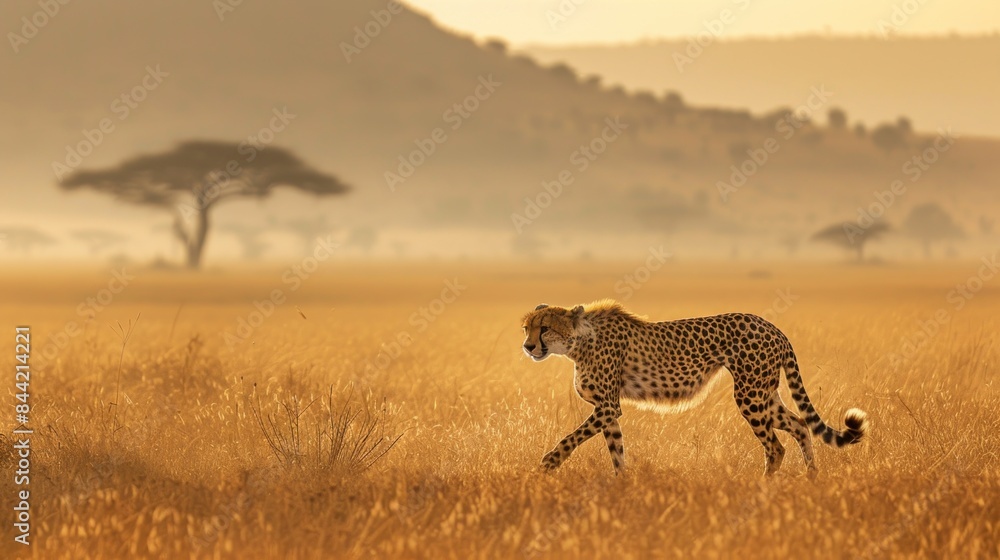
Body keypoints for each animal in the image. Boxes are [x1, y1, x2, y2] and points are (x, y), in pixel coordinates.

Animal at [520, 300, 868, 477]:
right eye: (527, 327)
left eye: (545, 328)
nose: (527, 346)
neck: (577, 342)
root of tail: (773, 327)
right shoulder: (607, 410)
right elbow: (616, 451)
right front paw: (622, 488)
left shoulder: (607, 406)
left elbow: (570, 438)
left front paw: (547, 464)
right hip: (764, 394)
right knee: (799, 426)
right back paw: (812, 479)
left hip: (750, 396)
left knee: (776, 446)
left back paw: (763, 489)